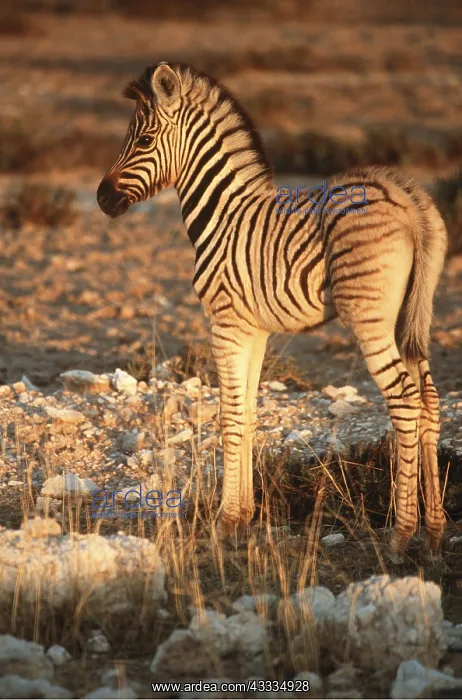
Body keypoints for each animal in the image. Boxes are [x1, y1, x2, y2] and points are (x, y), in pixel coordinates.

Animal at [97, 62, 448, 561]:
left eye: (143, 140)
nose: (102, 199)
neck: (223, 214)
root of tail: (408, 197)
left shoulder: (224, 321)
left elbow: (227, 417)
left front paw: (224, 523)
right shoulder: (253, 329)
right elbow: (246, 414)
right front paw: (242, 517)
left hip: (370, 317)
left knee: (403, 398)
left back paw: (401, 534)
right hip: (414, 314)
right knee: (430, 400)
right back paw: (434, 531)